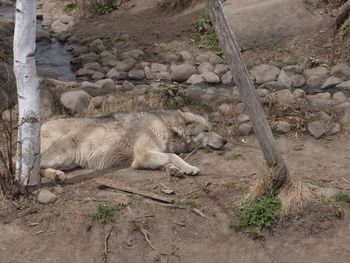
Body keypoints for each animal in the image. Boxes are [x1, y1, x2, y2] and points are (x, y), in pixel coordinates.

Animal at [40, 110, 227, 182]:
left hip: (68, 162)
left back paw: (56, 175)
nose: (225, 141)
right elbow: (173, 156)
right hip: (63, 155)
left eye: (212, 128)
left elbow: (167, 161)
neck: (164, 126)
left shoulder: (151, 155)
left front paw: (174, 170)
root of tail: (40, 125)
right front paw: (189, 168)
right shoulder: (142, 157)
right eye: (206, 131)